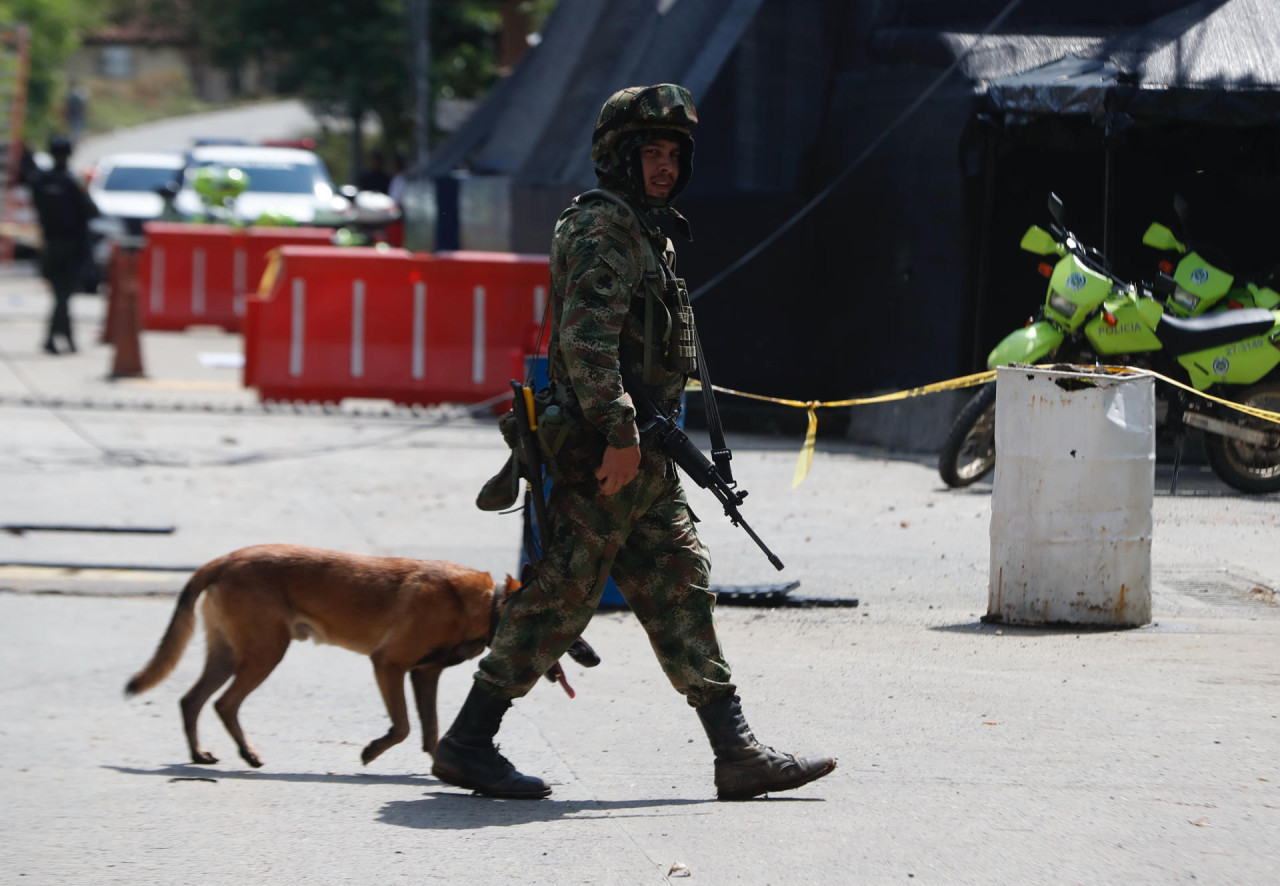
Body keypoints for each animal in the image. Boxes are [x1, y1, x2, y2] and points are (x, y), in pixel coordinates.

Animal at [124, 542, 593, 763]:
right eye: (566, 630)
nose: (594, 658)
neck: (490, 604)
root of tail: (225, 559)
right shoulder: (389, 665)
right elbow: (403, 727)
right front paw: (373, 750)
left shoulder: (424, 674)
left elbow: (429, 730)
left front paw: (446, 764)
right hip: (264, 653)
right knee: (224, 703)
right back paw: (246, 753)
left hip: (229, 653)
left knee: (193, 700)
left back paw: (200, 755)